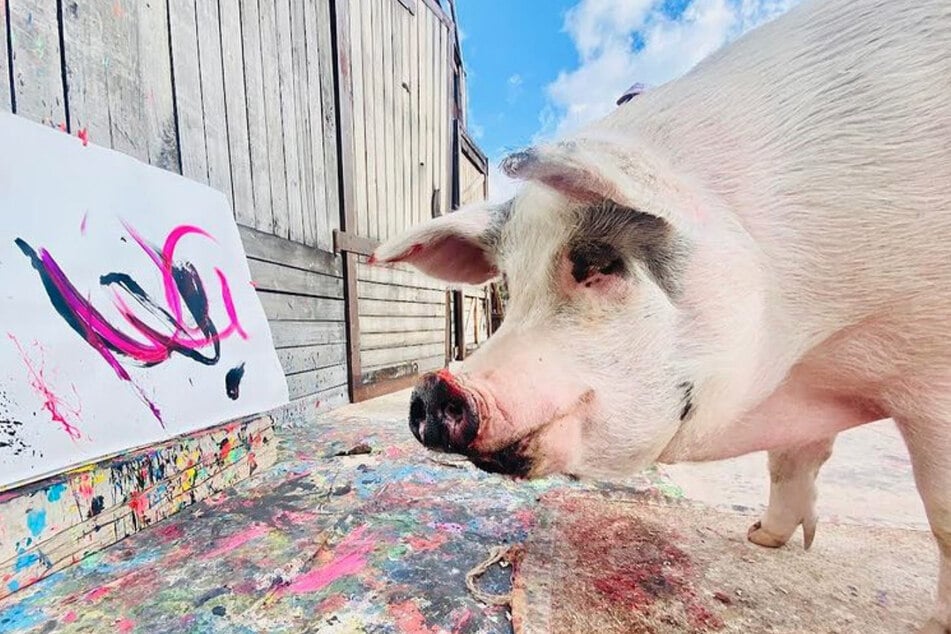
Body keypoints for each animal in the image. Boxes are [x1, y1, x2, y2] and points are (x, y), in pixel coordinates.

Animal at [372, 0, 951, 628]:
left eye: (599, 263)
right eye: (510, 283)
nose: (434, 388)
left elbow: (939, 510)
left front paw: (934, 624)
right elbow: (790, 459)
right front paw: (761, 538)